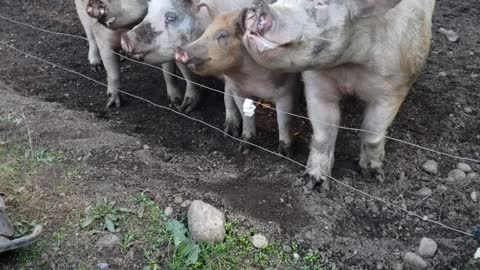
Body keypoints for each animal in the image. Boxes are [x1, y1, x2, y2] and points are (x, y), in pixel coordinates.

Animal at [120, 0, 276, 113]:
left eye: (171, 17)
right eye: (149, 10)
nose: (126, 37)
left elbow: (228, 93)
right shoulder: (179, 52)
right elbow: (190, 79)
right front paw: (184, 109)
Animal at [172, 11, 300, 156]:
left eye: (223, 35)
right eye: (205, 32)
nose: (179, 49)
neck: (255, 82)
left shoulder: (287, 92)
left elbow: (284, 120)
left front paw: (285, 154)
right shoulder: (239, 90)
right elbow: (246, 116)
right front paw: (243, 149)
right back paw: (228, 132)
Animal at [242, 0, 434, 190]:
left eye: (320, 3)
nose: (257, 6)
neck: (350, 65)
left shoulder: (394, 88)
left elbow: (372, 133)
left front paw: (374, 176)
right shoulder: (317, 83)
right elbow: (324, 134)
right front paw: (314, 184)